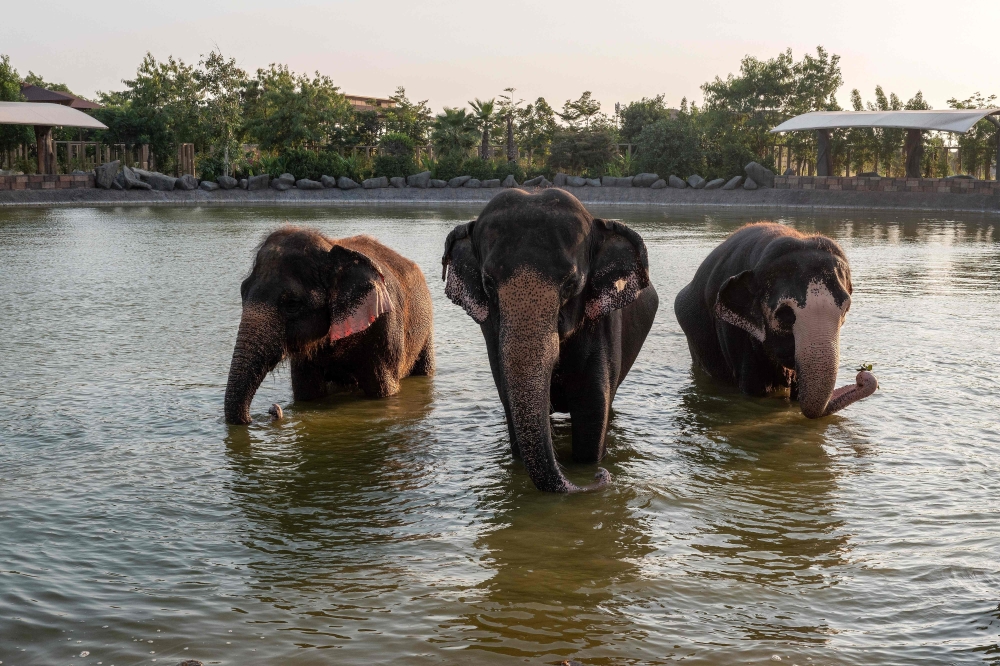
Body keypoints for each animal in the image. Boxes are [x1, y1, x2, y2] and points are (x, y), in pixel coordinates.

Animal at [225, 226, 434, 425]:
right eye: (242, 292)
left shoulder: (385, 329)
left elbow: (383, 390)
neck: (330, 249)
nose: (272, 410)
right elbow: (307, 392)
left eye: (292, 304)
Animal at [442, 188, 658, 493]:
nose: (600, 476)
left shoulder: (602, 325)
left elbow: (592, 410)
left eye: (571, 284)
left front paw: (589, 466)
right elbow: (510, 403)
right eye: (488, 284)